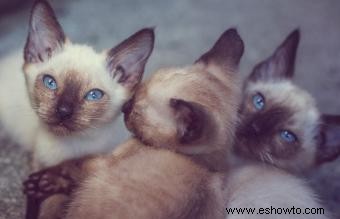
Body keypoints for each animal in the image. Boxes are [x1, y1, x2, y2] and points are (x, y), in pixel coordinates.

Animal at [25, 28, 246, 219]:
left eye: (137, 113)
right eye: (140, 88)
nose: (125, 107)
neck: (205, 164)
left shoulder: (102, 163)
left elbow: (71, 165)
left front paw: (39, 183)